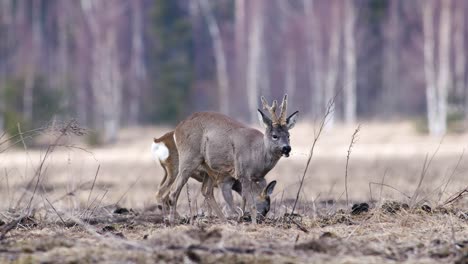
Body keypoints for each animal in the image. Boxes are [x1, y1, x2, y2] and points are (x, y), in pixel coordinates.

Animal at [169, 95, 300, 223]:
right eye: (274, 136)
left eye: (288, 135)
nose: (287, 148)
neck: (258, 155)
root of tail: (177, 129)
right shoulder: (242, 173)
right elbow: (251, 204)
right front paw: (252, 224)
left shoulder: (256, 177)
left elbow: (244, 200)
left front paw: (240, 219)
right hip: (189, 157)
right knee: (173, 191)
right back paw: (172, 222)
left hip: (208, 168)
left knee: (206, 191)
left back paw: (224, 221)